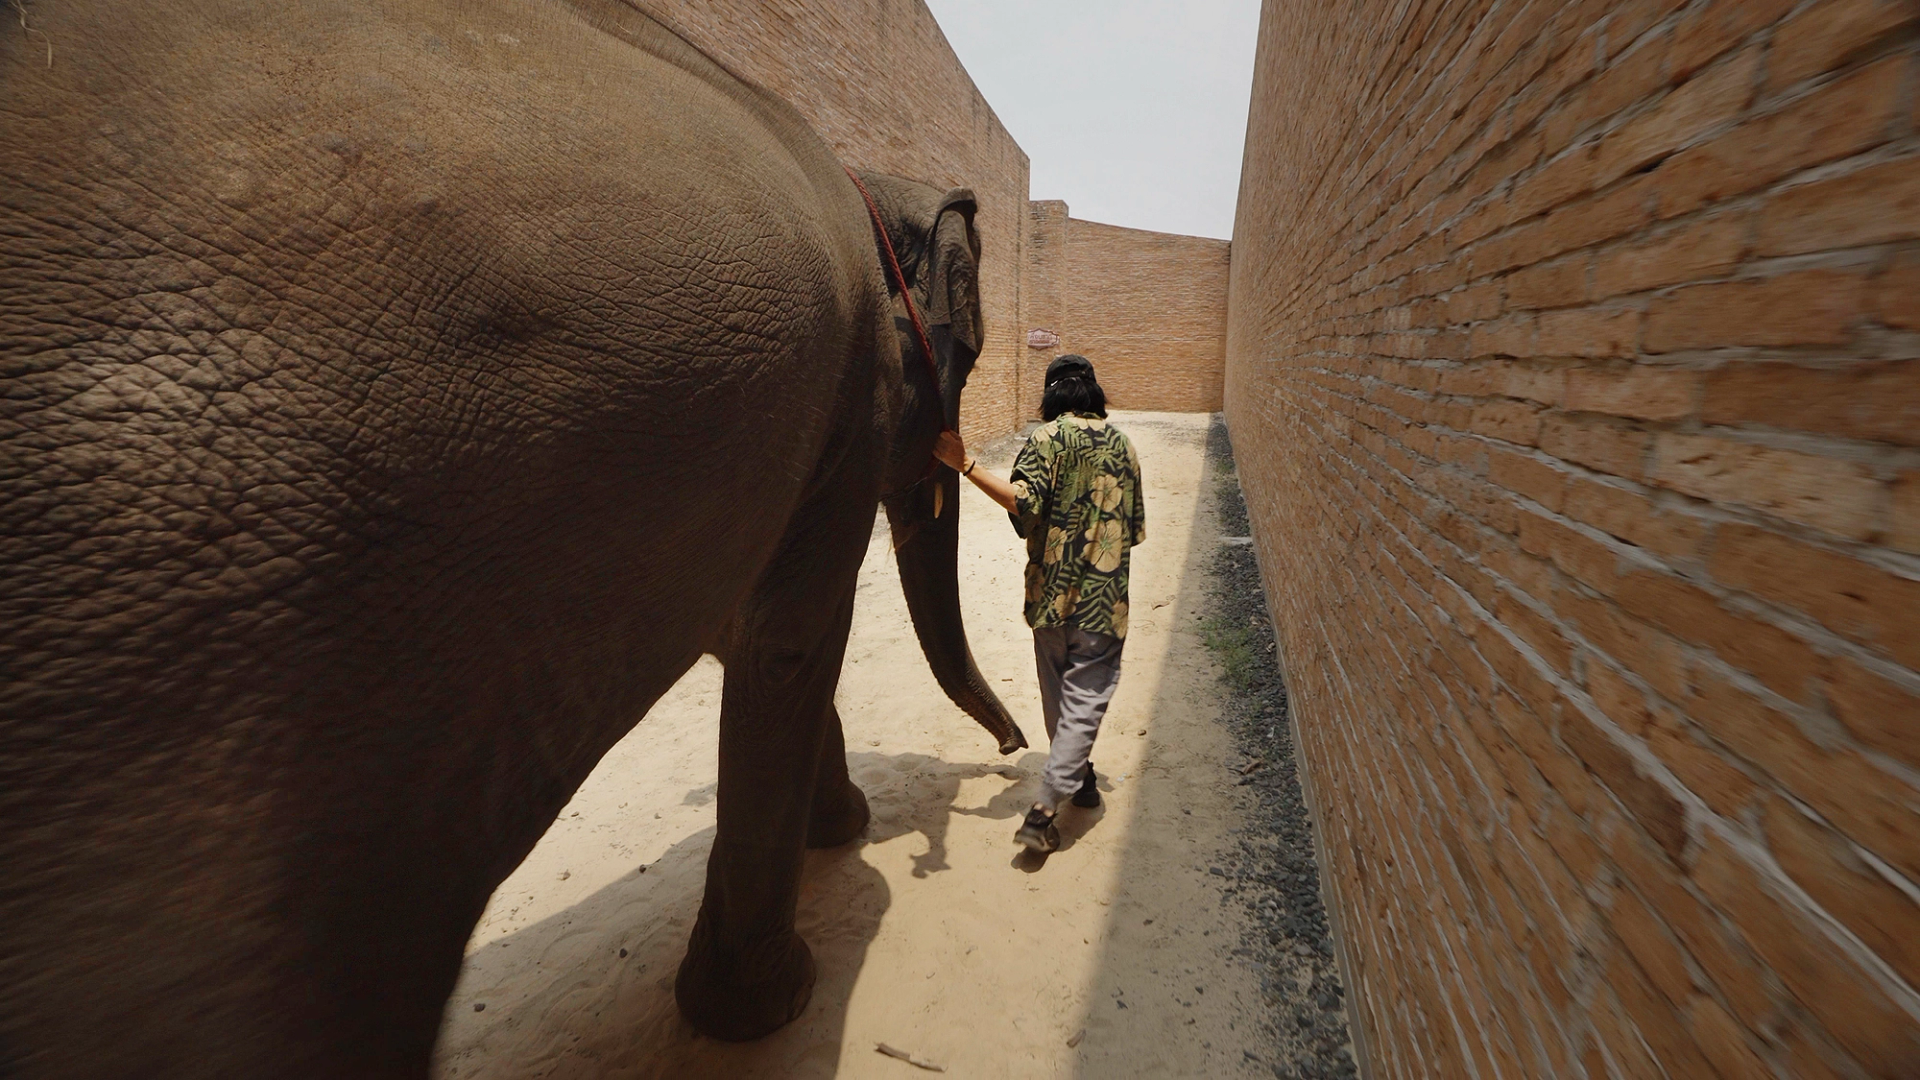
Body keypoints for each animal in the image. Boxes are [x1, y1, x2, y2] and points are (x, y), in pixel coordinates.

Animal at [0, 1, 1026, 1076]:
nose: (1009, 752)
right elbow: (787, 641)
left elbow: (745, 634)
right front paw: (776, 987)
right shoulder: (845, 407)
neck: (869, 182)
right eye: (969, 354)